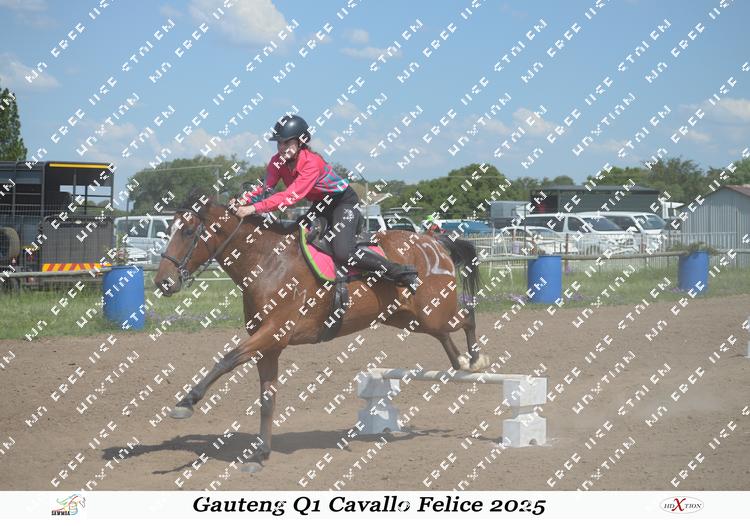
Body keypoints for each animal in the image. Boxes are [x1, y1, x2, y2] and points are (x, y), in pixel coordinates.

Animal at [154, 192, 489, 469]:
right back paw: (460, 363)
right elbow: (266, 400)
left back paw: (476, 359)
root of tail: (435, 243)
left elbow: (226, 359)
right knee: (445, 333)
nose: (163, 282)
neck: (266, 262)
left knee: (468, 317)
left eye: (187, 232)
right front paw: (261, 453)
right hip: (409, 318)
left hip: (434, 311)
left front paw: (186, 403)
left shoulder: (272, 333)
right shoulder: (269, 346)